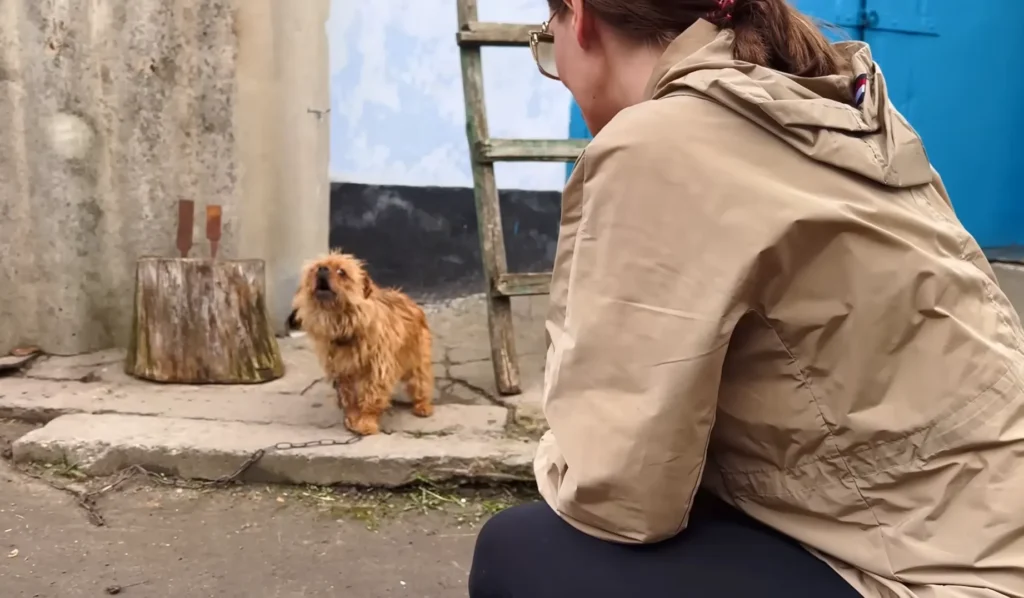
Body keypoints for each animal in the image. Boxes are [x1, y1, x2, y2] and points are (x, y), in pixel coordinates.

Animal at [290, 251, 434, 434]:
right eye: (314, 269)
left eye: (341, 272)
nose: (322, 269)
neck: (343, 323)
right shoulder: (342, 371)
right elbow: (349, 398)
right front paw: (352, 417)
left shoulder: (378, 369)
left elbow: (372, 396)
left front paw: (366, 421)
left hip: (417, 359)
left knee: (421, 382)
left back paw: (423, 405)